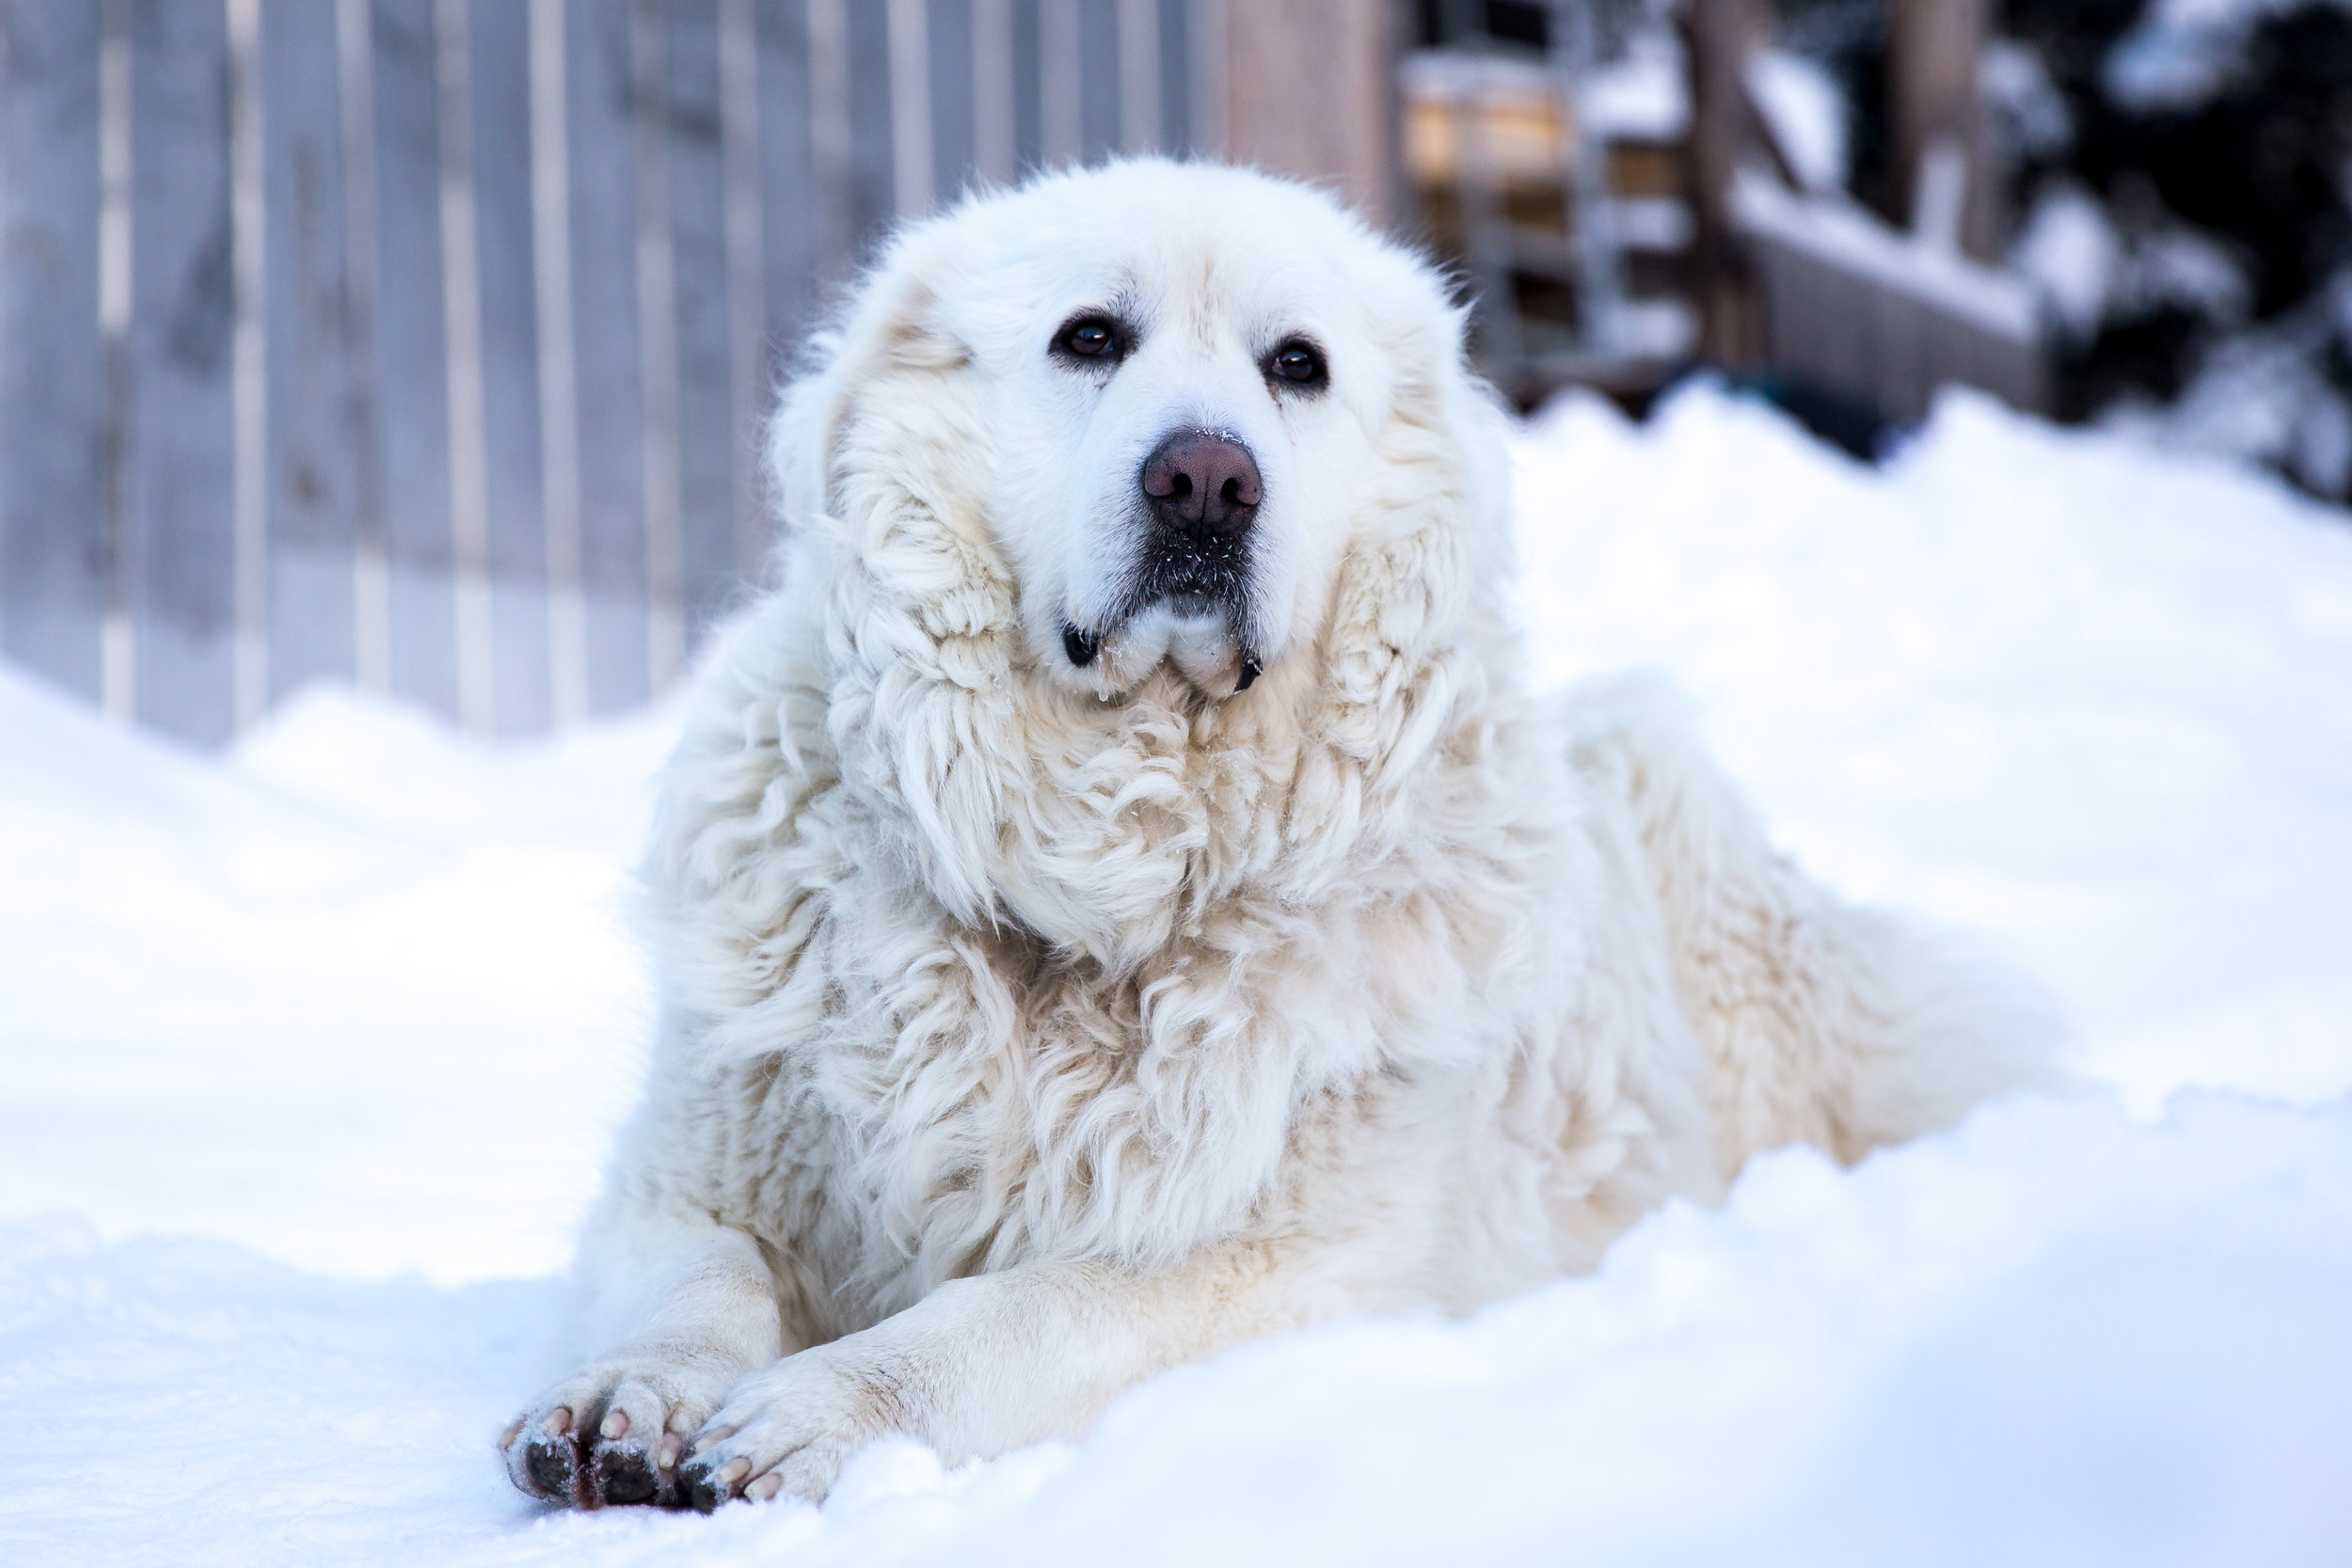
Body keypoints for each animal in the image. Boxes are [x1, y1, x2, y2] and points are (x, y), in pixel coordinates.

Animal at [505, 156, 2051, 1504]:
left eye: (1295, 366)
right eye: (1089, 337)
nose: (1204, 478)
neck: (1107, 872)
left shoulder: (1283, 1265)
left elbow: (1013, 1312)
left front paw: (827, 1407)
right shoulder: (696, 1168)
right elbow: (700, 1278)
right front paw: (630, 1392)